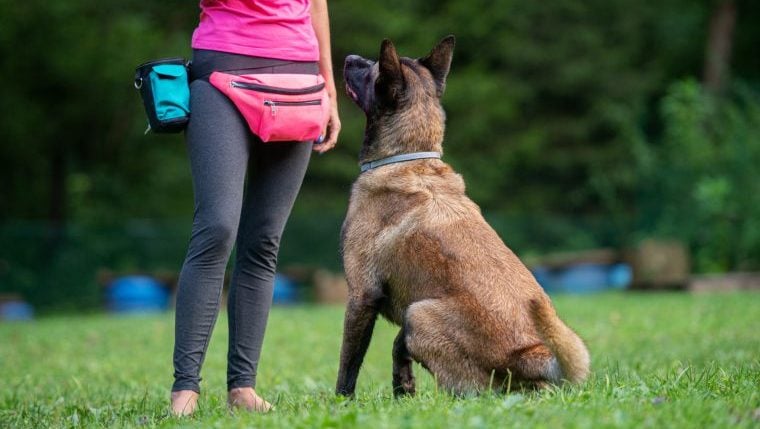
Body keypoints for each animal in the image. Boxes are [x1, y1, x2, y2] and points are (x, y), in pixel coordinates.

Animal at [336, 35, 592, 396]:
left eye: (372, 69)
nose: (348, 57)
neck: (408, 157)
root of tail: (531, 355)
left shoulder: (361, 295)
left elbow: (348, 366)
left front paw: (340, 402)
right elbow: (398, 349)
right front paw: (403, 389)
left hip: (419, 313)